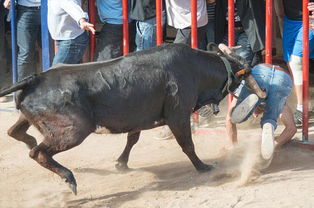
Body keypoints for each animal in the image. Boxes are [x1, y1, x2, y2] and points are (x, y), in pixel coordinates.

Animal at [0, 43, 260, 194]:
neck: (195, 68)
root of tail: (35, 78)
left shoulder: (140, 118)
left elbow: (132, 139)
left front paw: (121, 164)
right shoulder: (178, 114)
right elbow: (187, 144)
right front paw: (203, 167)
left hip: (33, 119)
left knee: (17, 133)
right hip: (74, 130)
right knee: (38, 153)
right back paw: (69, 178)